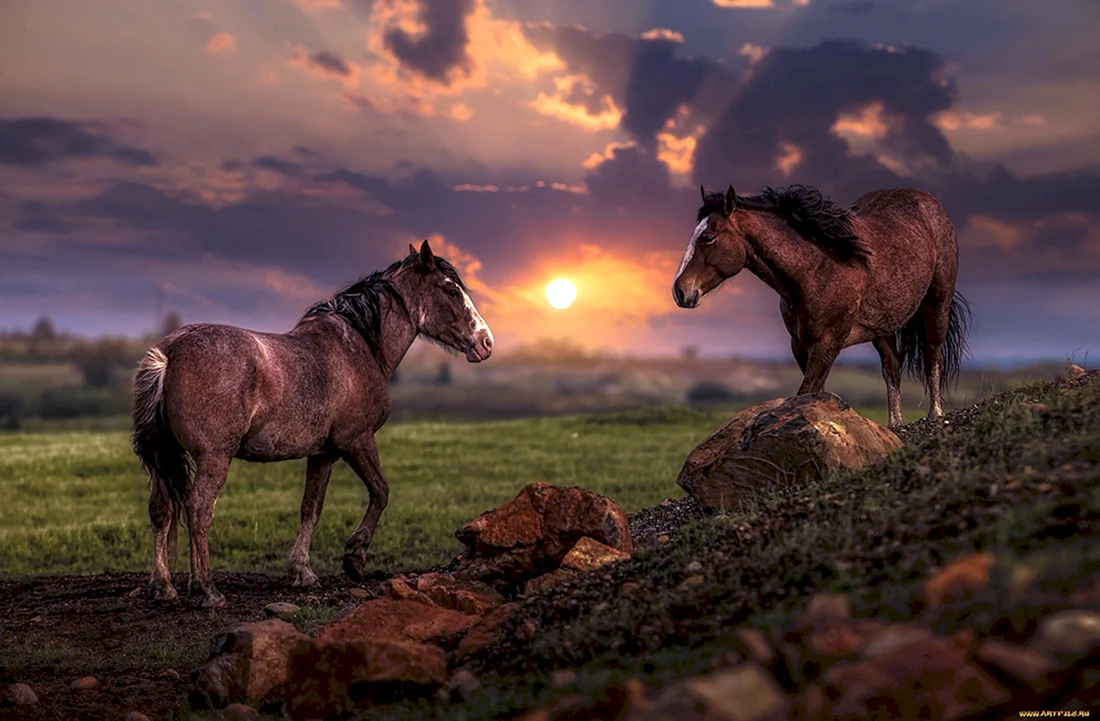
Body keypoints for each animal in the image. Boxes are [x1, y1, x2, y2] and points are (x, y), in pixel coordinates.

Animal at [130, 239, 492, 607]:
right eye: (451, 290)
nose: (486, 343)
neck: (358, 346)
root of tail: (168, 353)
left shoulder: (323, 454)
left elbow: (311, 509)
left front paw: (302, 572)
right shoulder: (356, 441)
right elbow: (380, 492)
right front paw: (354, 558)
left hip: (162, 458)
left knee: (160, 510)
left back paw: (163, 586)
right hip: (214, 457)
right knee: (199, 509)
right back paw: (208, 588)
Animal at [668, 183, 972, 429]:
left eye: (708, 237)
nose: (680, 291)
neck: (816, 269)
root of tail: (929, 202)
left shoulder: (828, 343)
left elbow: (805, 394)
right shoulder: (801, 345)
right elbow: (812, 396)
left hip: (937, 304)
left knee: (933, 356)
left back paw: (935, 415)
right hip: (883, 327)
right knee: (892, 368)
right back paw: (894, 425)